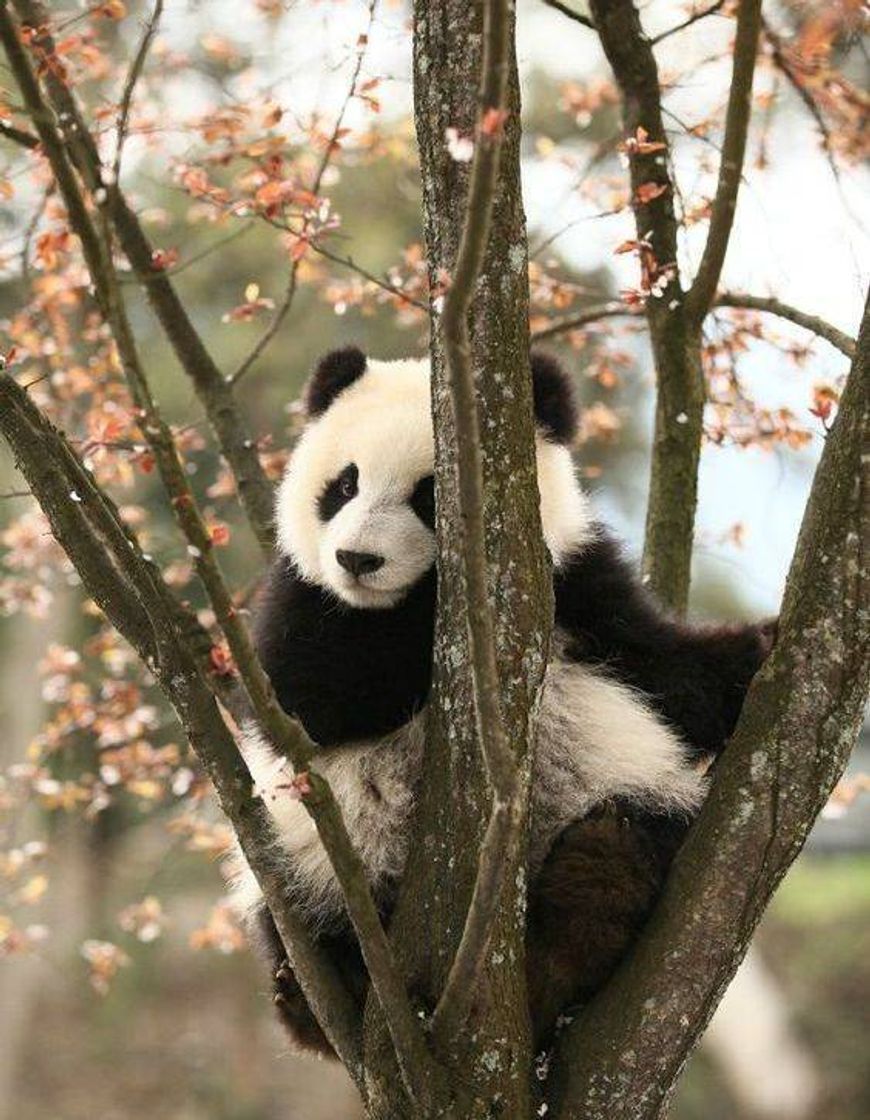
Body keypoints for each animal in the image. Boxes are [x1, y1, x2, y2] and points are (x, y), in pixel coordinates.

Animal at [227, 345, 774, 1054]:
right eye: (343, 485)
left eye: (428, 497)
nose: (357, 559)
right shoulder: (299, 603)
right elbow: (311, 698)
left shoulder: (581, 584)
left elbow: (667, 675)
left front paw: (760, 647)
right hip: (312, 855)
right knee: (295, 913)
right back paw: (315, 996)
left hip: (618, 798)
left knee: (629, 837)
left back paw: (574, 927)